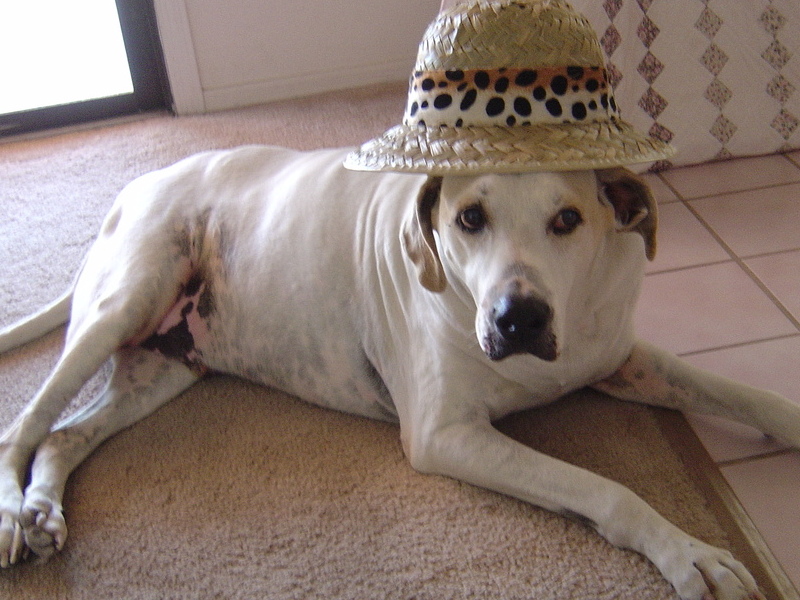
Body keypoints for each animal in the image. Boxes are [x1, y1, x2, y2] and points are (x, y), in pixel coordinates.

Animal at [0, 146, 792, 600]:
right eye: (470, 218)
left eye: (567, 220)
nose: (518, 318)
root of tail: (135, 187)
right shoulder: (448, 436)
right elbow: (607, 488)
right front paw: (687, 552)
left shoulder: (622, 359)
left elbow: (734, 390)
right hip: (123, 301)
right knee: (22, 428)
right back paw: (14, 515)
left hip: (161, 368)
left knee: (65, 436)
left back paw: (43, 510)